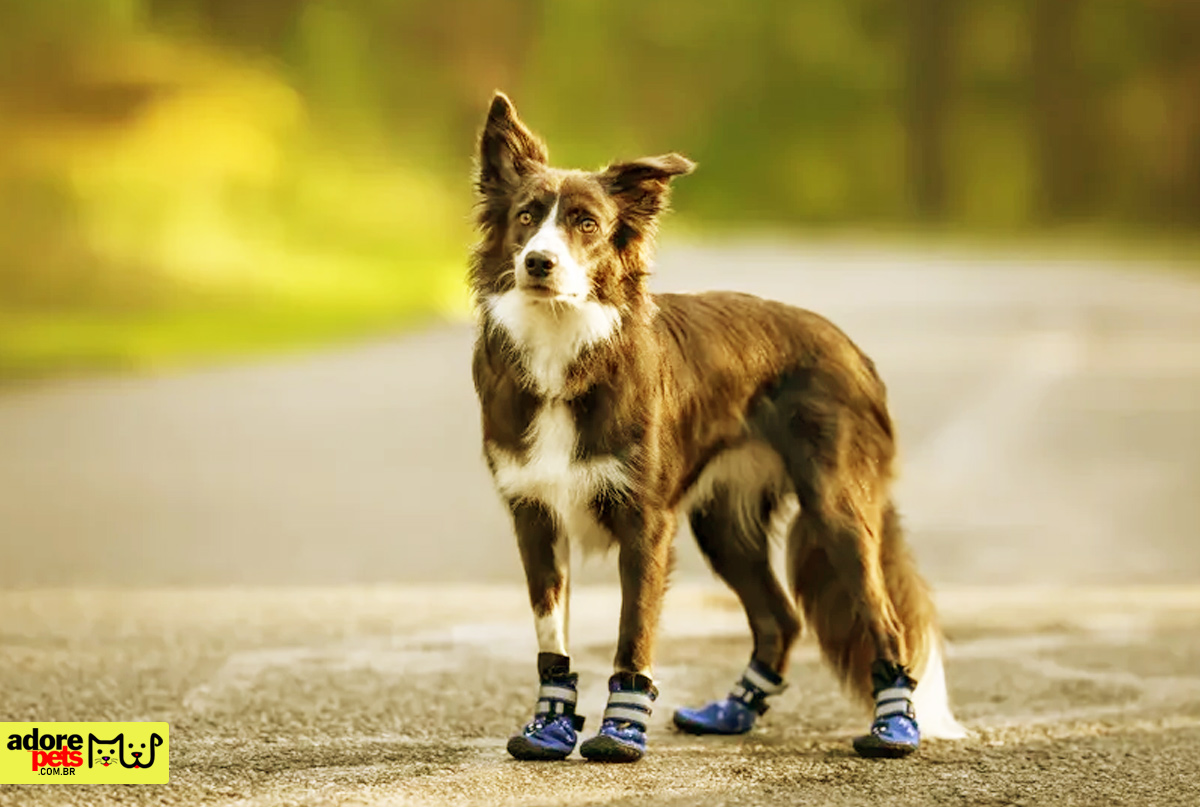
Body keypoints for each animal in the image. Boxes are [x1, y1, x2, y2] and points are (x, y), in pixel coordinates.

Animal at [468, 93, 964, 763]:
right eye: (525, 217)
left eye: (587, 224)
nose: (538, 263)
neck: (565, 345)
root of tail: (852, 349)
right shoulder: (534, 515)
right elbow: (553, 637)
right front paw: (549, 727)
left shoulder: (646, 522)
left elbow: (633, 632)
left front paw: (621, 733)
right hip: (725, 524)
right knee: (780, 617)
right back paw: (734, 711)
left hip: (836, 507)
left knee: (882, 619)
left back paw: (895, 726)